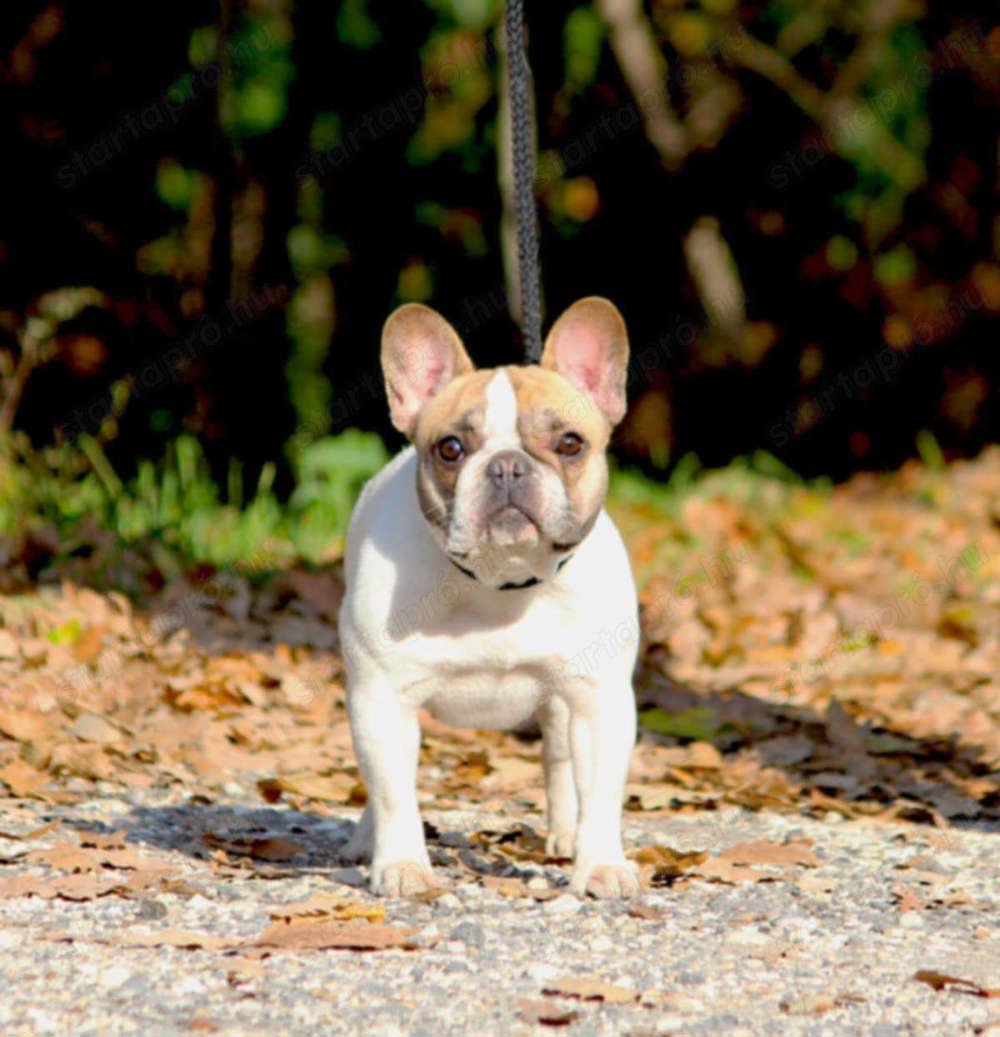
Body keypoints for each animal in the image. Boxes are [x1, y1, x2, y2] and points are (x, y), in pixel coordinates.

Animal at [340, 296, 639, 895]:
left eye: (570, 444)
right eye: (451, 449)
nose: (505, 465)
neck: (502, 582)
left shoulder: (600, 701)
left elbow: (600, 795)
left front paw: (600, 865)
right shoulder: (381, 698)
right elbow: (393, 793)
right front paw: (402, 864)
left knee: (559, 760)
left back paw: (565, 834)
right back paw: (366, 841)